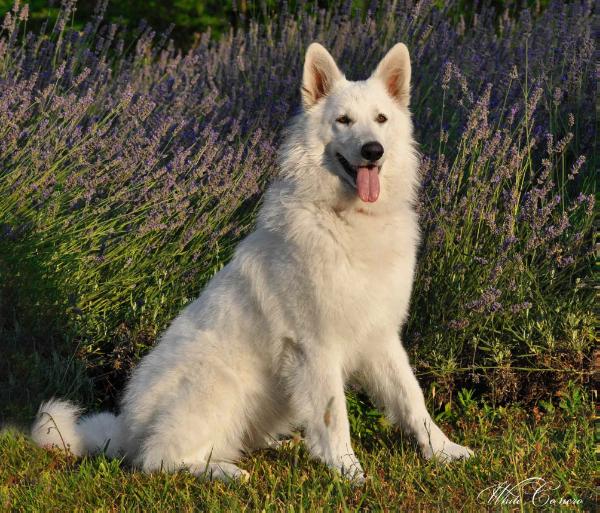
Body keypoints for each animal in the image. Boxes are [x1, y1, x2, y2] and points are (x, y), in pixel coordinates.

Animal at [31, 42, 474, 482]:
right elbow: (335, 416)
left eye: (381, 119)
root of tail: (125, 429)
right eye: (343, 121)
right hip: (219, 383)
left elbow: (412, 400)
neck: (347, 220)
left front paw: (442, 451)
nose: (372, 151)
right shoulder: (316, 346)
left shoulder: (381, 339)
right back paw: (225, 472)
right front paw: (348, 471)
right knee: (158, 459)